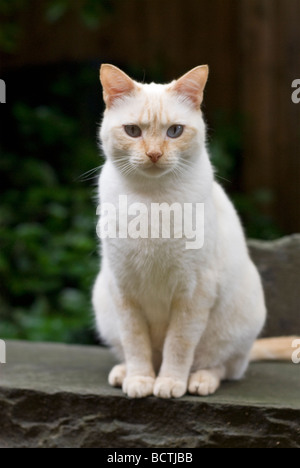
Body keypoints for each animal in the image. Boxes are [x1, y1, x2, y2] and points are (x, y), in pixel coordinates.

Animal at [93, 64, 298, 396]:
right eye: (133, 131)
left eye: (174, 131)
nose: (153, 154)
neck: (152, 202)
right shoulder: (124, 289)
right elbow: (136, 344)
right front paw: (141, 381)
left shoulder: (194, 291)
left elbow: (178, 346)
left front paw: (169, 384)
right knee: (134, 352)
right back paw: (124, 374)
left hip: (235, 326)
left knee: (223, 366)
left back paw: (199, 382)